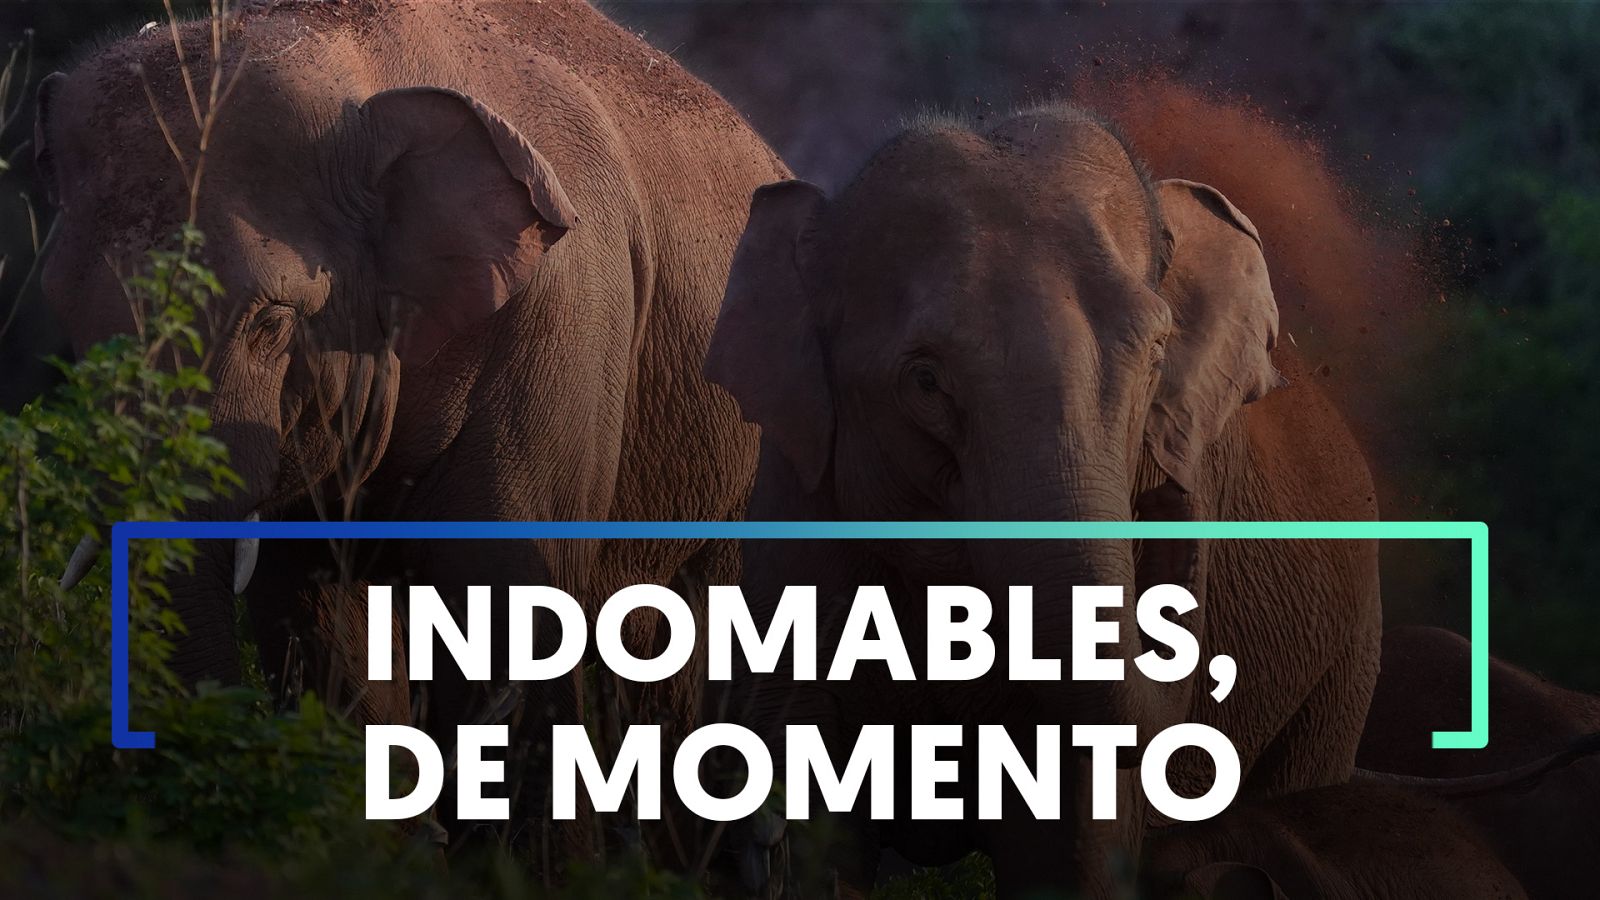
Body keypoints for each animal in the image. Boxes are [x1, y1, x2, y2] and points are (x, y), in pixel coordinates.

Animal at [34, 0, 783, 862]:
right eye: (67, 319)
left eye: (267, 323)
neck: (357, 63)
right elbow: (318, 618)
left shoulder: (562, 320)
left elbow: (516, 608)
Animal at [705, 105, 1382, 897]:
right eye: (925, 381)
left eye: (1155, 359)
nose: (1178, 483)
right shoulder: (797, 511)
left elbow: (1072, 842)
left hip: (1343, 664)